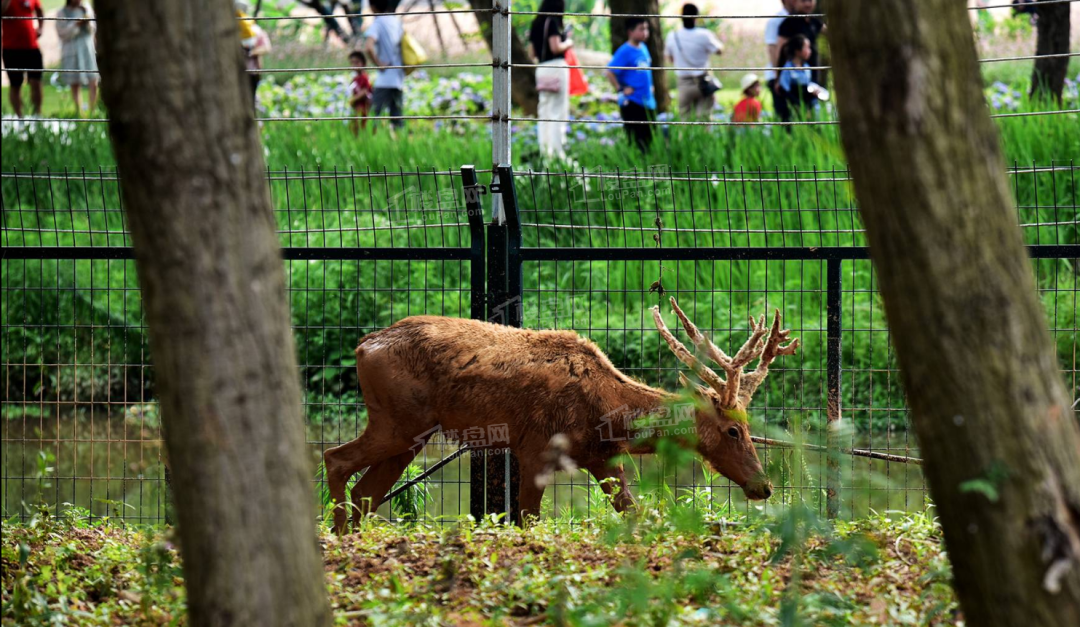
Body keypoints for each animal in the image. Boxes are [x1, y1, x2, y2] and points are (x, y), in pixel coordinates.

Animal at [324, 295, 799, 530]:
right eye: (734, 430)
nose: (763, 486)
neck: (609, 414)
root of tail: (363, 346)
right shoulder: (534, 448)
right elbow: (527, 521)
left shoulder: (603, 459)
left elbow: (635, 514)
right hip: (397, 422)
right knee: (335, 458)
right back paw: (338, 535)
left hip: (411, 433)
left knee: (366, 492)